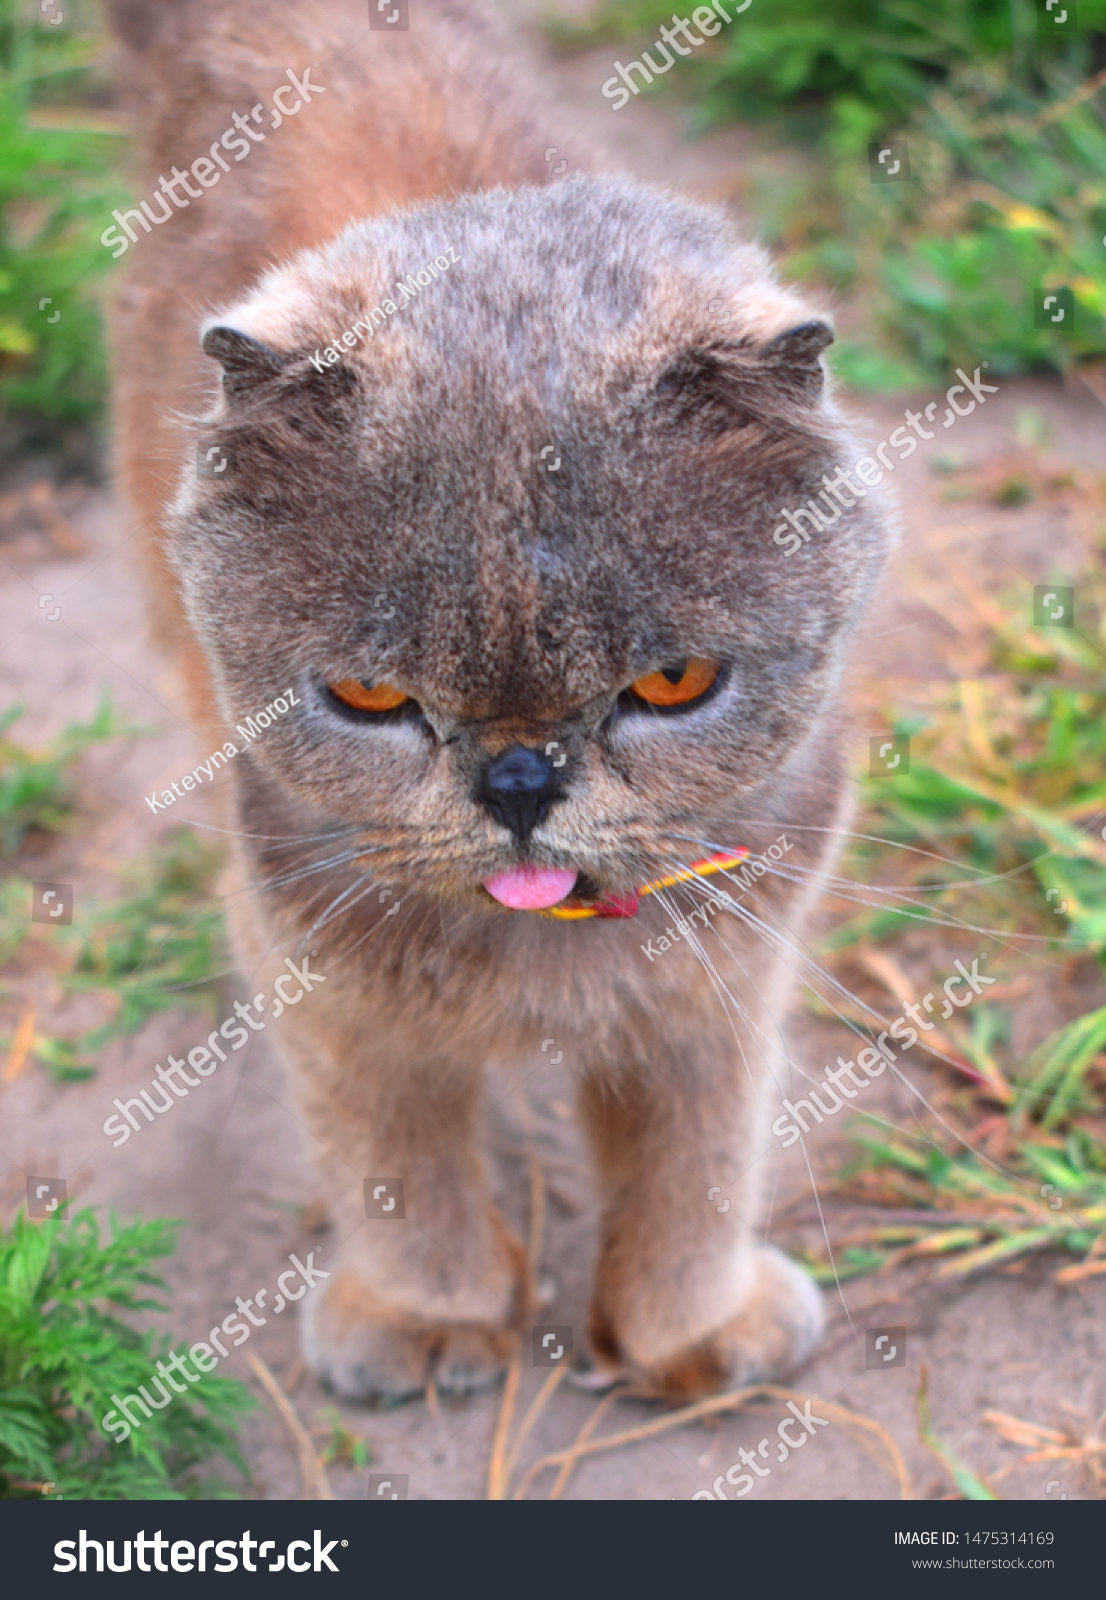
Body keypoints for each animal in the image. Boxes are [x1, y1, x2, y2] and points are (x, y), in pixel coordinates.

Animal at [108, 0, 896, 1401]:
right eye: (369, 694)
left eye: (671, 683)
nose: (519, 781)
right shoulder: (311, 949)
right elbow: (388, 1157)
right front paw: (424, 1319)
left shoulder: (732, 961)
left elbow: (700, 1155)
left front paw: (687, 1327)